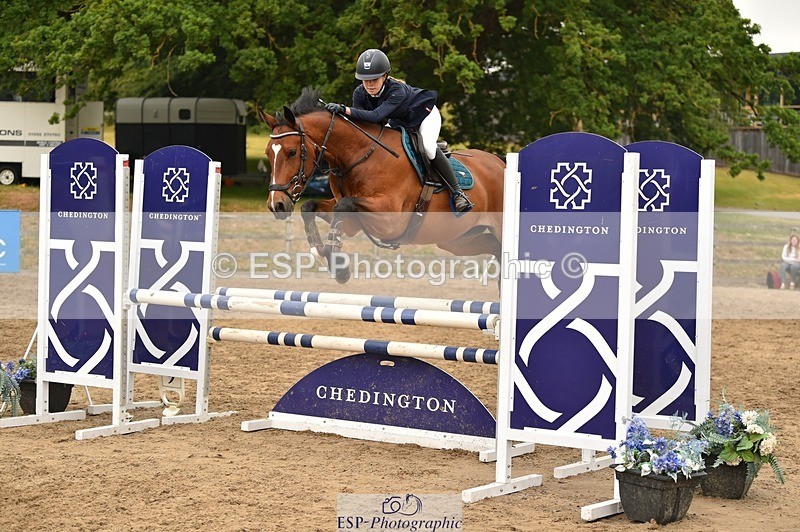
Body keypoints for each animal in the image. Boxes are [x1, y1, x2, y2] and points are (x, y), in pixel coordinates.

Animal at [260, 88, 505, 283]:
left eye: (292, 152)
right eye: (268, 154)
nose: (276, 205)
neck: (360, 155)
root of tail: (500, 162)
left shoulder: (391, 220)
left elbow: (343, 206)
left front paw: (338, 266)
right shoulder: (353, 220)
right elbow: (310, 207)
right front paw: (325, 255)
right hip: (457, 240)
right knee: (495, 249)